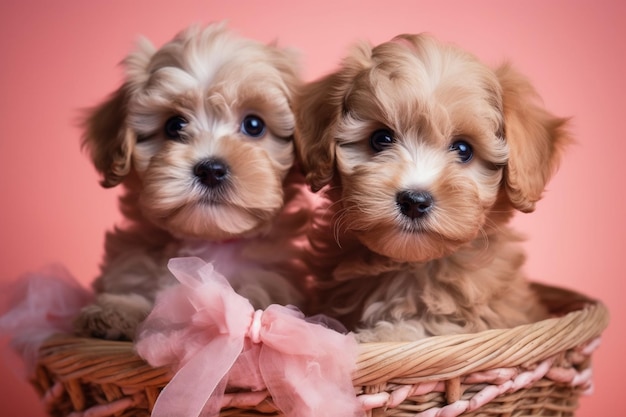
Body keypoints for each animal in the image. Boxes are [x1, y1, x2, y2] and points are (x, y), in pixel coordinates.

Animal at [294, 34, 568, 342]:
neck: (411, 266)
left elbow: (432, 328)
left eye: (463, 149)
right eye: (381, 139)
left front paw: (382, 335)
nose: (414, 200)